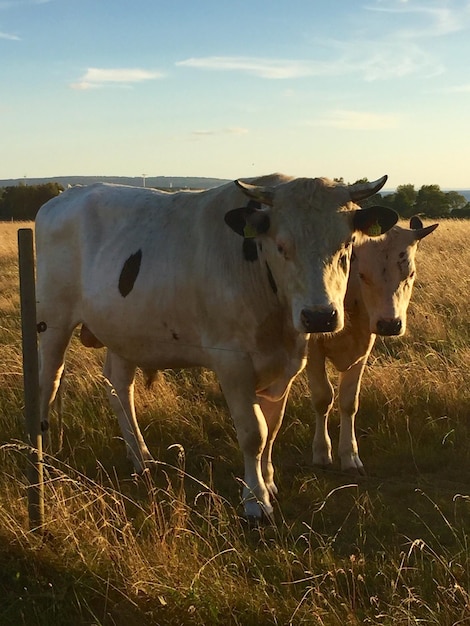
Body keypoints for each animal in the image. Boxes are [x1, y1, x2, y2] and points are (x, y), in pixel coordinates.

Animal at [35, 172, 398, 516]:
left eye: (347, 246)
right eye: (281, 247)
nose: (319, 316)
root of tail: (67, 195)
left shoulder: (289, 362)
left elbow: (272, 427)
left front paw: (269, 481)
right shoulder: (233, 363)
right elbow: (254, 432)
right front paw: (255, 500)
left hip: (124, 332)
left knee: (119, 388)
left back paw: (142, 458)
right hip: (52, 320)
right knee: (48, 382)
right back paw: (44, 454)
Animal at [308, 216, 436, 472]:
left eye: (410, 274)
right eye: (363, 275)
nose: (390, 324)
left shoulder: (363, 347)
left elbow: (349, 401)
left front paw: (349, 455)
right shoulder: (311, 348)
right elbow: (322, 397)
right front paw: (322, 452)